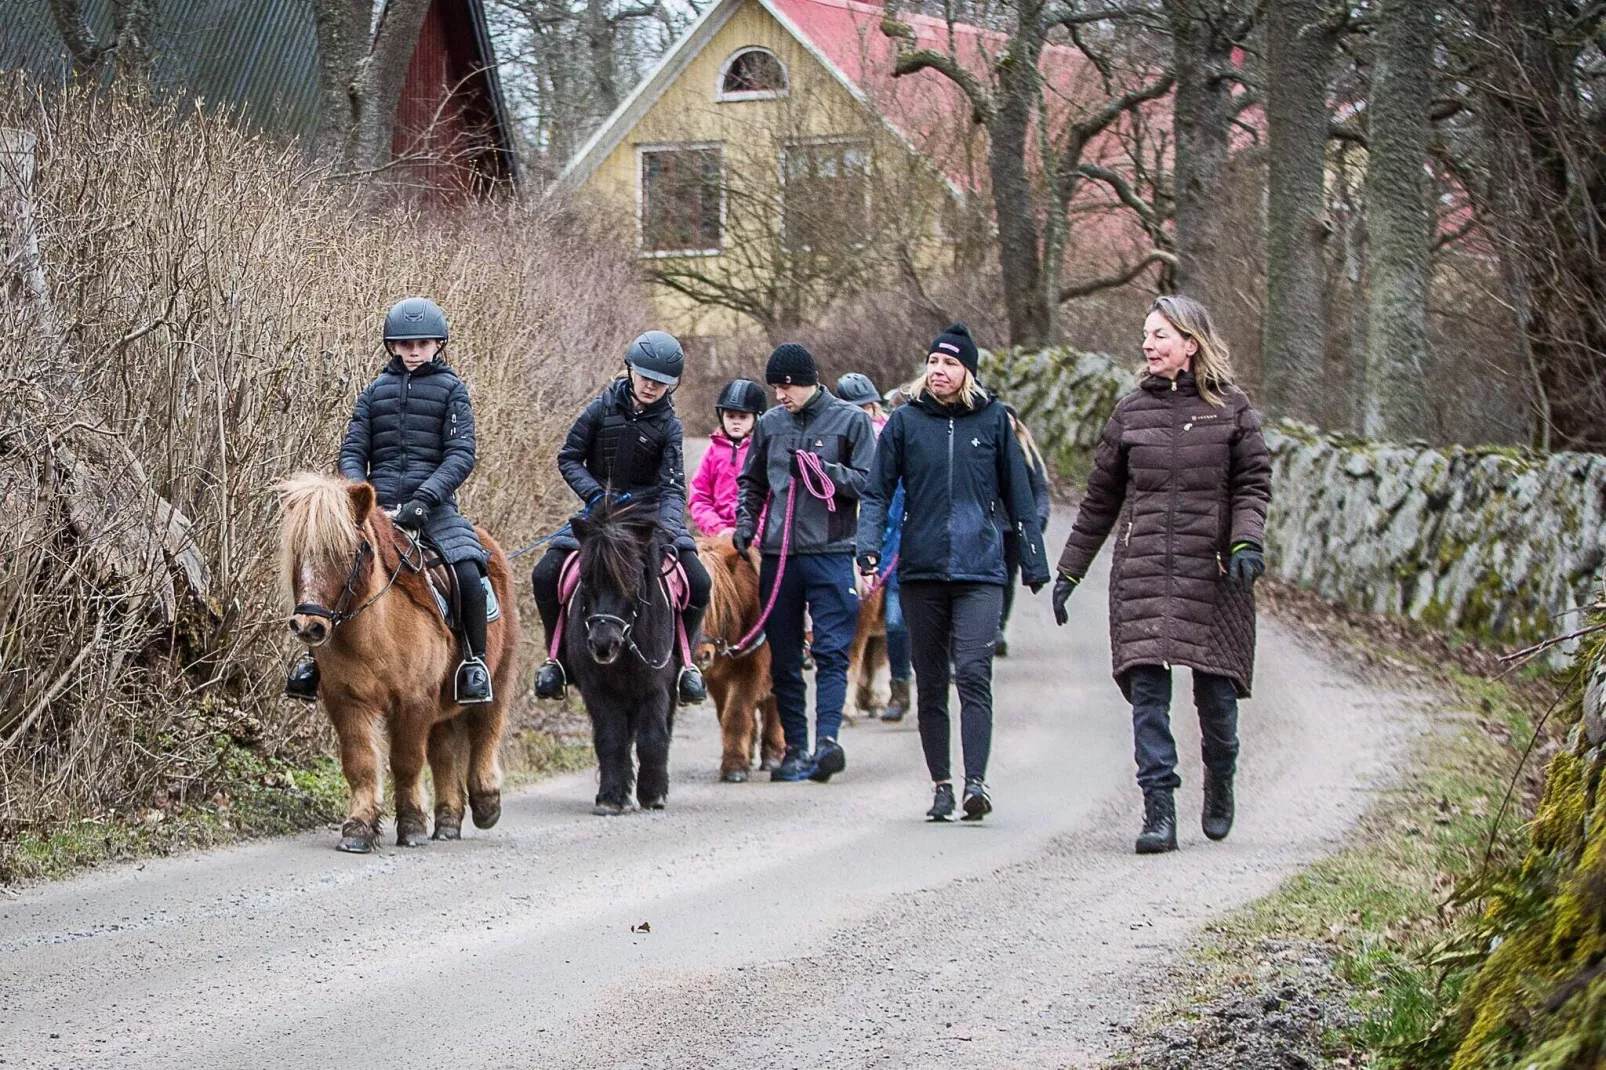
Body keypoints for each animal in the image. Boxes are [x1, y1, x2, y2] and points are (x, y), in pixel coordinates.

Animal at [279, 472, 517, 848]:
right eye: (298, 551)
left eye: (349, 551)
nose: (308, 626)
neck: (375, 633)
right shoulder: (347, 700)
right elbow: (360, 761)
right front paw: (359, 828)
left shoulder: (414, 701)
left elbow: (406, 761)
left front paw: (412, 826)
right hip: (442, 705)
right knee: (444, 752)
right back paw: (447, 822)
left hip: (499, 677)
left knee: (485, 731)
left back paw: (486, 804)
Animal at [565, 498, 677, 809]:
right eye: (585, 579)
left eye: (632, 582)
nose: (604, 645)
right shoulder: (597, 688)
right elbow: (611, 739)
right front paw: (612, 796)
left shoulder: (655, 686)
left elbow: (653, 738)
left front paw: (652, 793)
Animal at [697, 530, 783, 774]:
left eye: (722, 605)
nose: (700, 655)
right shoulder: (715, 677)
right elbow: (724, 712)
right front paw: (740, 756)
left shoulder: (751, 667)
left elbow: (736, 713)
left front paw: (734, 766)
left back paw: (773, 755)